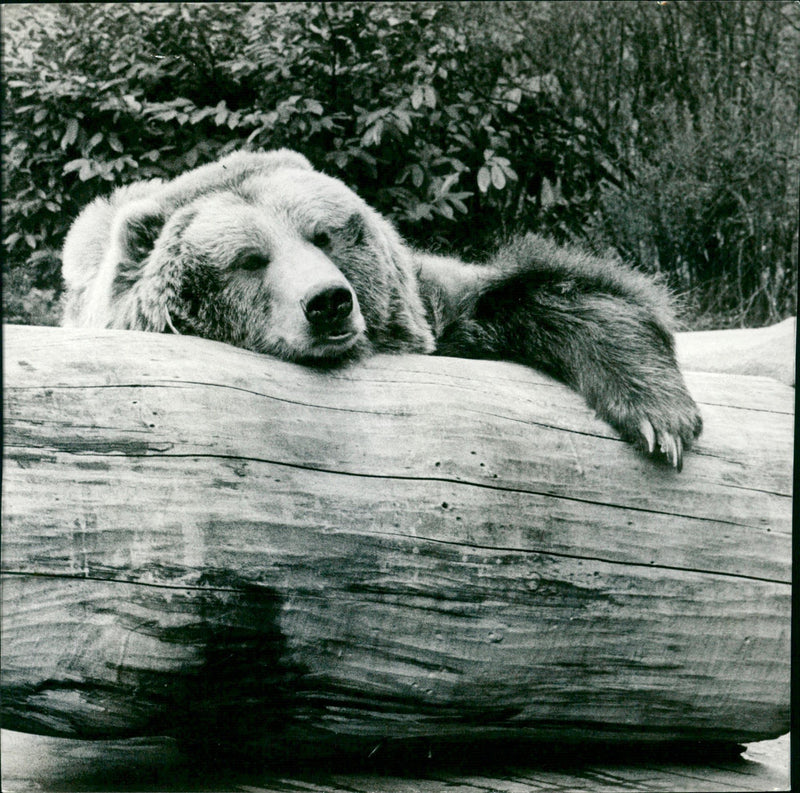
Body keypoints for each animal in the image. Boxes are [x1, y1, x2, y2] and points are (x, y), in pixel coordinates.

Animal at [61, 148, 702, 469]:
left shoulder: (431, 307)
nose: (329, 302)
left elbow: (548, 290)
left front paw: (659, 417)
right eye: (249, 259)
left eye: (323, 235)